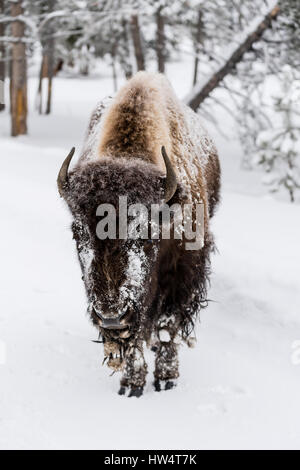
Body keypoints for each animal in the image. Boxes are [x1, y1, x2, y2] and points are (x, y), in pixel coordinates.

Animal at [56, 72, 220, 396]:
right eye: (77, 233)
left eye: (146, 233)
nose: (111, 316)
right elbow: (134, 338)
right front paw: (131, 385)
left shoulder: (184, 272)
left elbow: (168, 326)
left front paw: (167, 379)